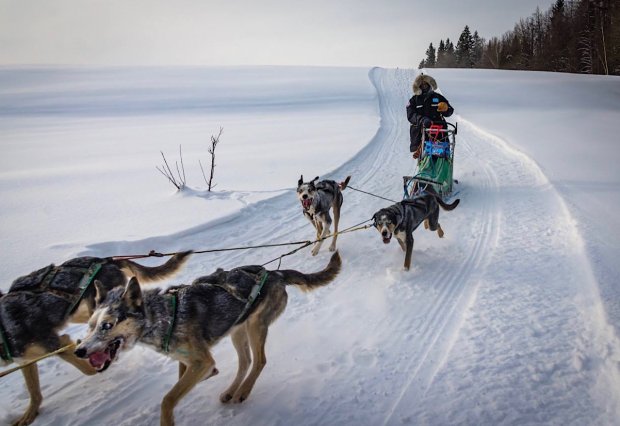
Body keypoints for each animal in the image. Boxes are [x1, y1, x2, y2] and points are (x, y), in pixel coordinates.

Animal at [0, 253, 191, 426]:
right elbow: (34, 391)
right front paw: (29, 415)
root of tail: (107, 261)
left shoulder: (58, 343)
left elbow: (87, 369)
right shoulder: (25, 360)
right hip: (86, 313)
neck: (3, 328)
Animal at [77, 251, 342, 426]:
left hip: (256, 326)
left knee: (259, 361)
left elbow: (168, 399)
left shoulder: (200, 361)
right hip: (238, 329)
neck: (165, 316)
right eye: (89, 327)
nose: (80, 351)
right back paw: (232, 391)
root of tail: (274, 272)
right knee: (245, 361)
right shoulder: (188, 360)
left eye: (107, 325)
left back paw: (244, 391)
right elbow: (181, 381)